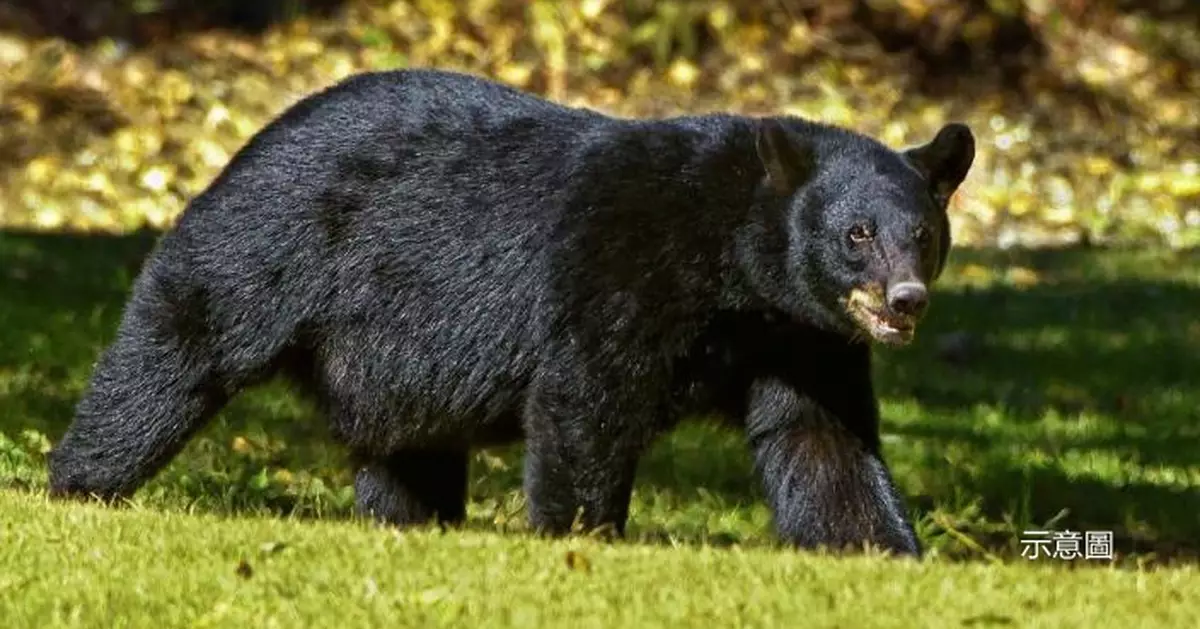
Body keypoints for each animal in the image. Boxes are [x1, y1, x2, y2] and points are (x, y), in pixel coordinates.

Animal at [51, 68, 974, 556]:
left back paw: (413, 521)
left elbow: (821, 438)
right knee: (178, 346)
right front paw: (583, 537)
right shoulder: (622, 265)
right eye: (857, 233)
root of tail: (255, 136)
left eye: (923, 234)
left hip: (391, 358)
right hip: (269, 241)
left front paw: (883, 549)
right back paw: (79, 482)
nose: (905, 299)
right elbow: (586, 399)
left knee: (407, 447)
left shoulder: (799, 334)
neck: (734, 266)